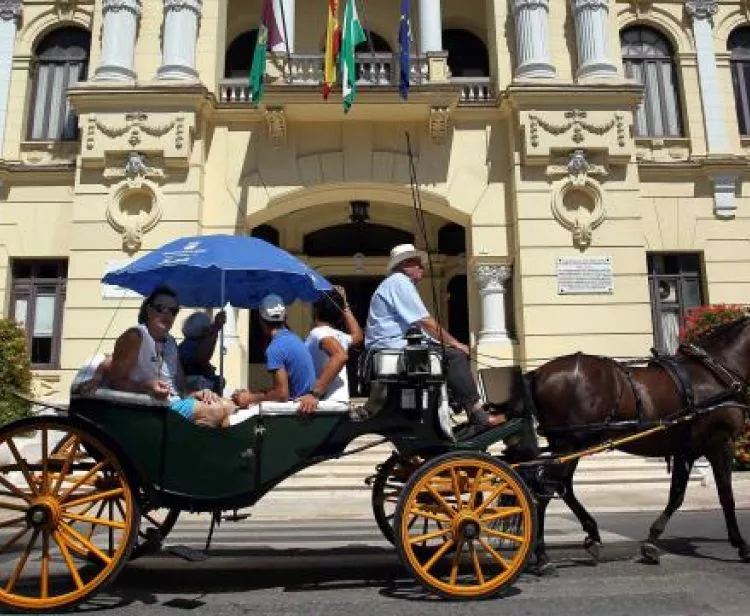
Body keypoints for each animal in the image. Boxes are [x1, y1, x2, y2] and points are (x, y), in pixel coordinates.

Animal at [516, 316, 750, 572]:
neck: (716, 372)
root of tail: (538, 373)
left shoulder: (685, 451)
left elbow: (676, 496)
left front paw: (651, 542)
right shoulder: (719, 444)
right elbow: (726, 495)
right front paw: (741, 545)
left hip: (568, 447)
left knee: (562, 488)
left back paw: (591, 535)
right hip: (569, 445)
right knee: (546, 491)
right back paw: (542, 555)